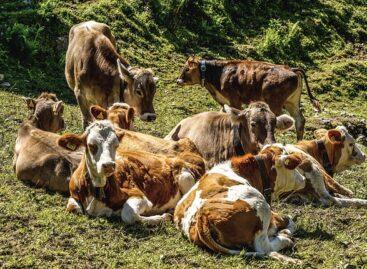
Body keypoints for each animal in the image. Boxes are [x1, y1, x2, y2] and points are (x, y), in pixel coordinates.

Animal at [59, 120, 206, 224]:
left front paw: (161, 217)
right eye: (91, 145)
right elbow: (73, 208)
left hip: (185, 177)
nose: (108, 165)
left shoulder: (139, 196)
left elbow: (128, 215)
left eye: (116, 145)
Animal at [175, 144, 304, 262]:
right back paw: (285, 238)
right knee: (264, 247)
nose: (303, 179)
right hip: (260, 204)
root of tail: (202, 216)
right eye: (293, 168)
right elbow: (290, 221)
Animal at [178, 56, 322, 140]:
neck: (219, 73)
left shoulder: (234, 100)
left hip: (275, 102)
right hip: (292, 102)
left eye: (187, 69)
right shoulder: (224, 102)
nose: (178, 80)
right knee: (300, 120)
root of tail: (291, 69)